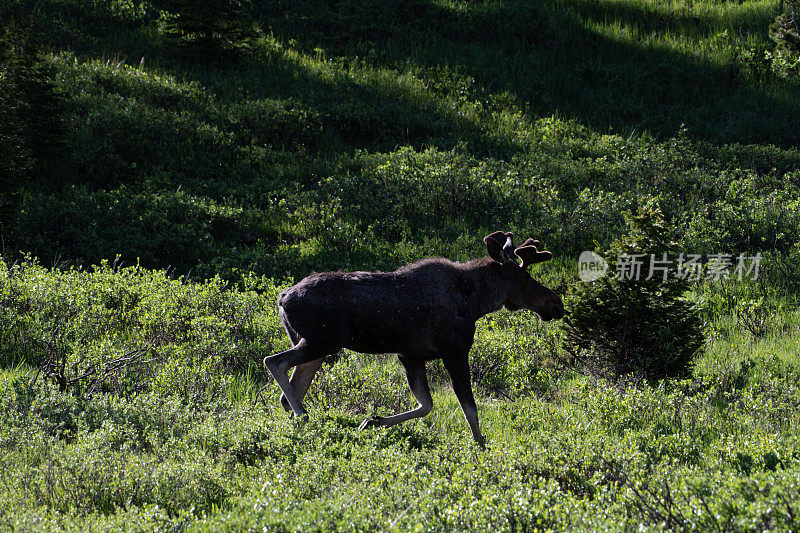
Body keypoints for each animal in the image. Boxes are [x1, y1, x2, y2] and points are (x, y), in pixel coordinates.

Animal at [262, 231, 564, 442]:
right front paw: (481, 447)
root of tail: (281, 298)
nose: (556, 304)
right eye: (525, 278)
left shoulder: (410, 354)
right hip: (322, 341)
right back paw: (304, 417)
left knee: (288, 392)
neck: (475, 302)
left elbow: (426, 404)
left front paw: (371, 421)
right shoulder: (453, 349)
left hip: (313, 345)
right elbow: (470, 410)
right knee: (273, 362)